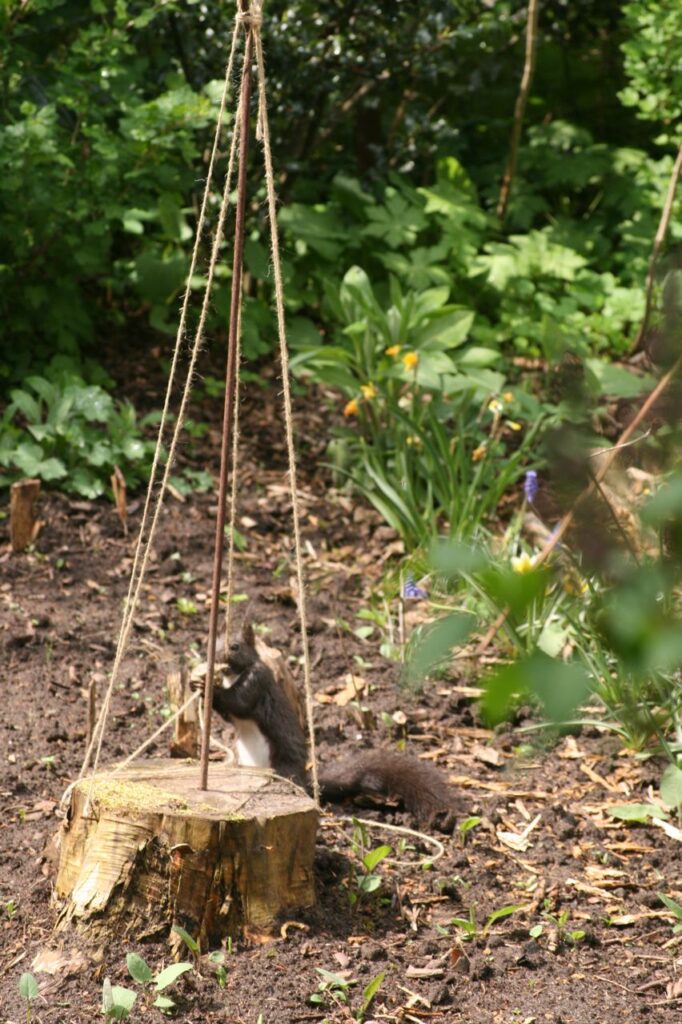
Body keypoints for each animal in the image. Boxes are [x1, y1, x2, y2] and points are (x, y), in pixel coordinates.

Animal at [195, 623, 457, 826]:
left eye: (234, 646)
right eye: (211, 642)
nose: (212, 659)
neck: (233, 676)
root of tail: (303, 780)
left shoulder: (258, 681)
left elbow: (239, 702)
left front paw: (208, 687)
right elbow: (230, 715)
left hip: (282, 766)